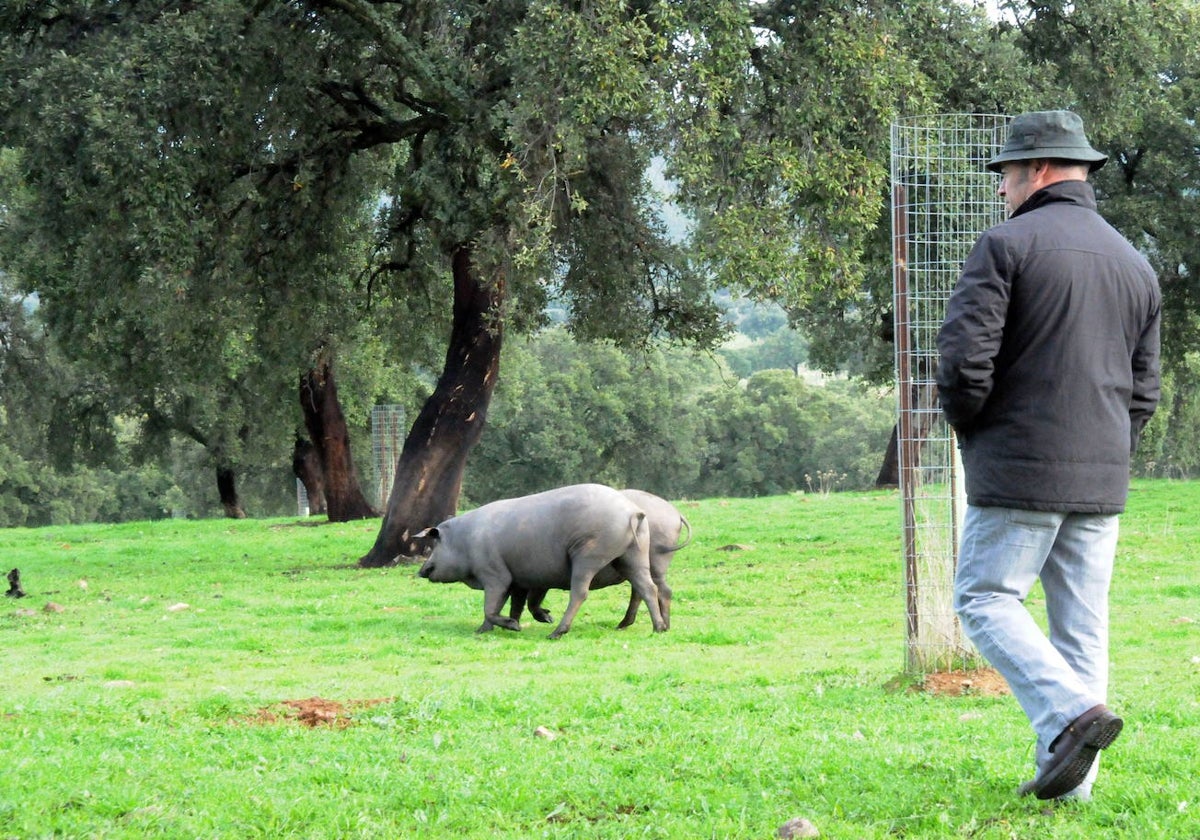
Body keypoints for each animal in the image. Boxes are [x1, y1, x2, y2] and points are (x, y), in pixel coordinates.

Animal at [417, 484, 667, 638]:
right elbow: (516, 604)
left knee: (580, 593)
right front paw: (487, 630)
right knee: (647, 587)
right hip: (634, 556)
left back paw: (555, 633)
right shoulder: (521, 581)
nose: (421, 570)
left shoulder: (495, 575)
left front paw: (513, 626)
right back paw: (659, 628)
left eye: (433, 544)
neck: (466, 540)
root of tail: (633, 512)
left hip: (588, 555)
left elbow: (491, 606)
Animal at [508, 492, 696, 628]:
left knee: (660, 590)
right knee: (646, 590)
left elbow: (533, 599)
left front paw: (547, 617)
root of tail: (676, 513)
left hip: (654, 563)